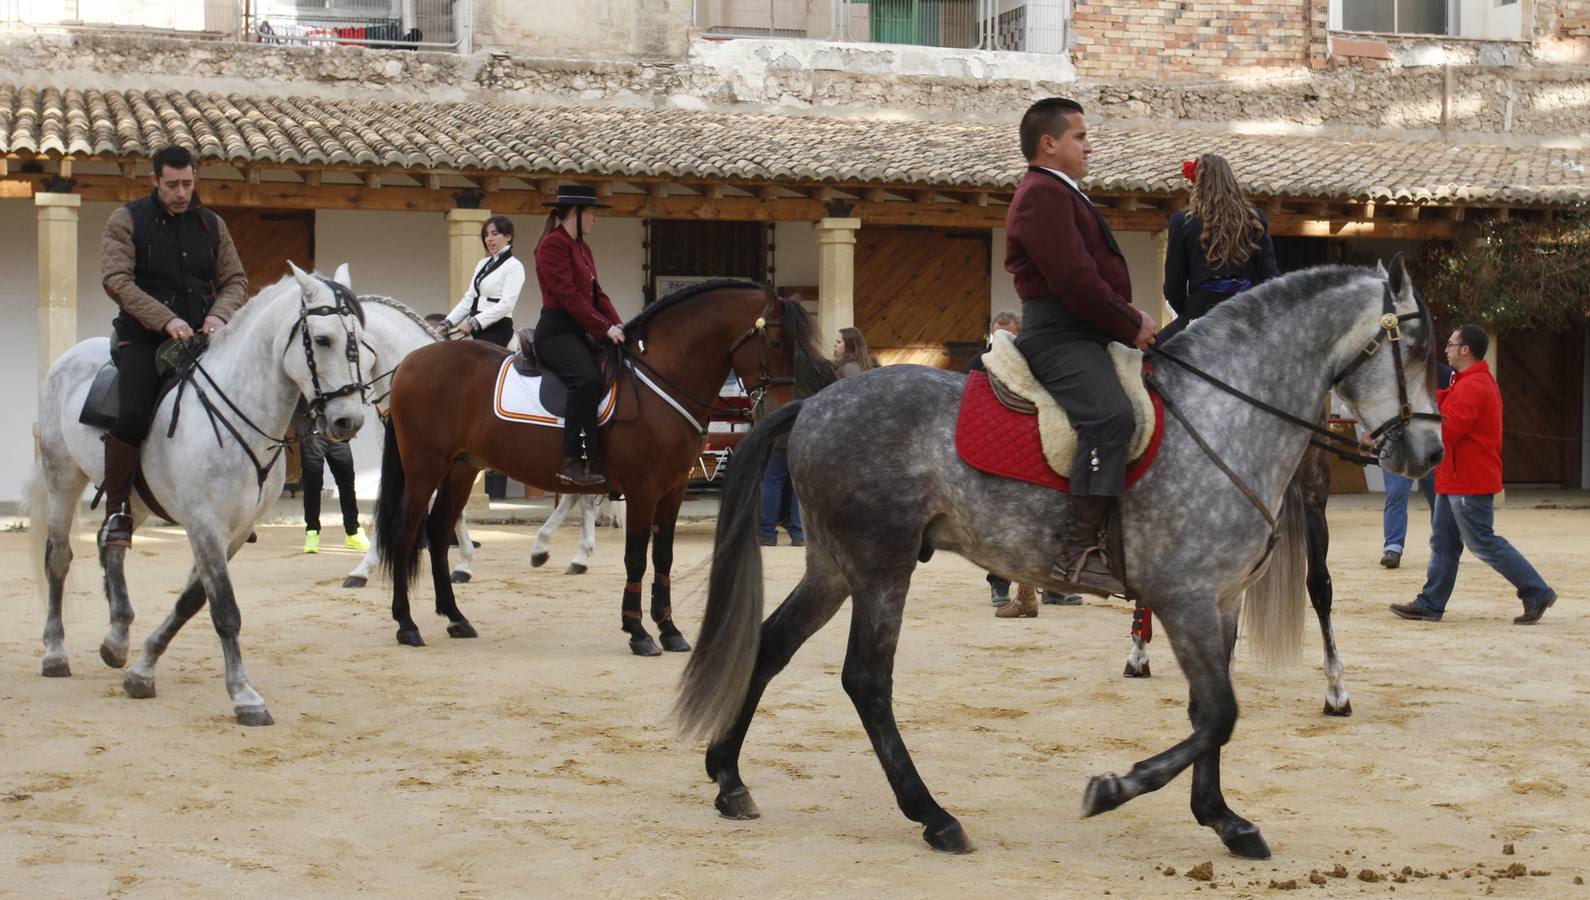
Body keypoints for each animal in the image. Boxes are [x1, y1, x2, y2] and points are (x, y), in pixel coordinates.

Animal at [24, 263, 372, 731]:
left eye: (362, 343)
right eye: (322, 339)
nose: (347, 421)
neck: (241, 414)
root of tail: (69, 356)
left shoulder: (236, 531)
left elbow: (193, 599)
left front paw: (142, 670)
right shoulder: (205, 524)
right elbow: (224, 608)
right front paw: (244, 696)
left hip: (132, 498)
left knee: (110, 544)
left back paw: (117, 639)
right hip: (63, 477)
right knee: (59, 558)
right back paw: (55, 652)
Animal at [365, 283, 826, 655]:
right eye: (778, 341)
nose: (783, 412)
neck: (661, 377)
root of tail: (411, 362)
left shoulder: (673, 491)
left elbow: (663, 557)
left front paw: (670, 629)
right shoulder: (643, 489)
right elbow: (636, 557)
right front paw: (639, 632)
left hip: (461, 469)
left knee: (439, 530)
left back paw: (455, 617)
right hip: (425, 468)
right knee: (407, 533)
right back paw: (406, 624)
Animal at [677, 260, 1450, 858]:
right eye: (1413, 346)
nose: (1431, 453)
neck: (1227, 415)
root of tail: (812, 406)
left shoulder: (1220, 600)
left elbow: (1210, 711)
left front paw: (1223, 820)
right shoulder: (1185, 599)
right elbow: (1220, 714)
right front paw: (1114, 790)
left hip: (835, 568)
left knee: (771, 645)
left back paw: (728, 777)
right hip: (881, 568)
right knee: (866, 681)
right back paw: (934, 817)